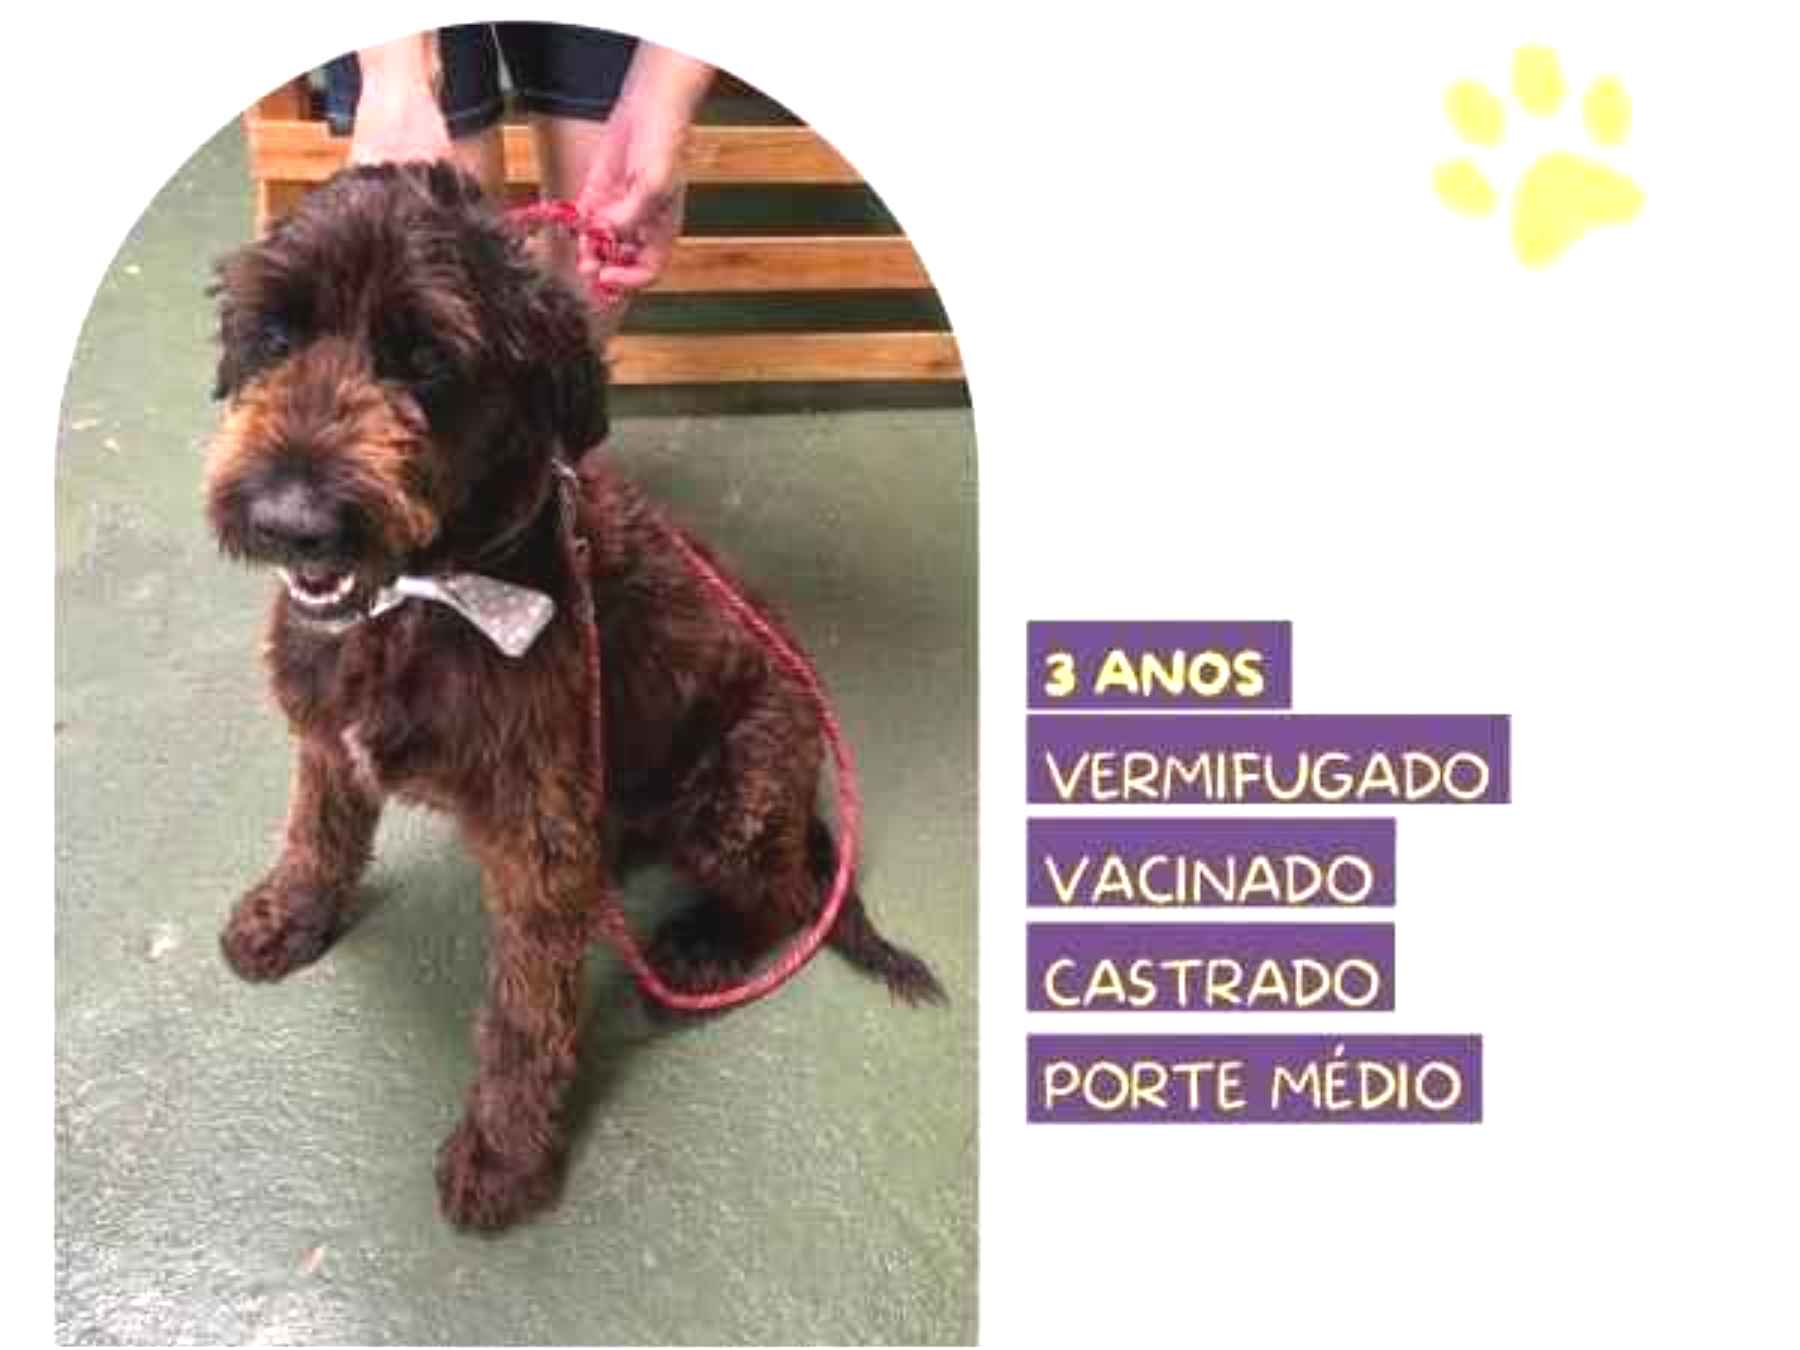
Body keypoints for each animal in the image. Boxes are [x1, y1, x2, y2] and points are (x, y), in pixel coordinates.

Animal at [203, 161, 943, 1231]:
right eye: (274, 334)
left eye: (427, 359)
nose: (288, 519)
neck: (422, 595)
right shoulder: (328, 741)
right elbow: (317, 833)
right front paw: (287, 917)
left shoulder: (536, 844)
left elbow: (525, 1012)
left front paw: (505, 1156)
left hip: (733, 797)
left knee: (792, 896)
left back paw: (705, 946)